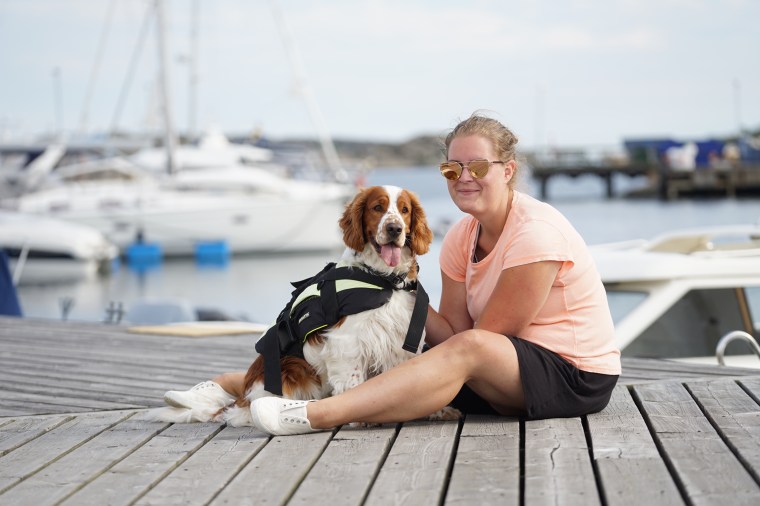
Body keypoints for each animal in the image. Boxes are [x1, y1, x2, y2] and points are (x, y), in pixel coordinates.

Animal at [149, 185, 461, 426]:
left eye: (404, 210)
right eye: (377, 207)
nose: (395, 228)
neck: (382, 279)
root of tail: (242, 399)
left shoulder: (401, 338)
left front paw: (437, 410)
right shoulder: (347, 342)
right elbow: (355, 382)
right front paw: (359, 416)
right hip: (292, 371)